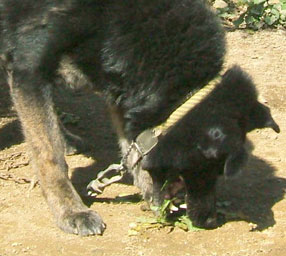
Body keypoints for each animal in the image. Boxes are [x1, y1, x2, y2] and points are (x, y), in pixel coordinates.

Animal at [0, 0, 238, 236]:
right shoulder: (29, 70)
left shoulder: (119, 83)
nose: (211, 220)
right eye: (200, 167)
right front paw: (70, 210)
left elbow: (135, 148)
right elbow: (49, 155)